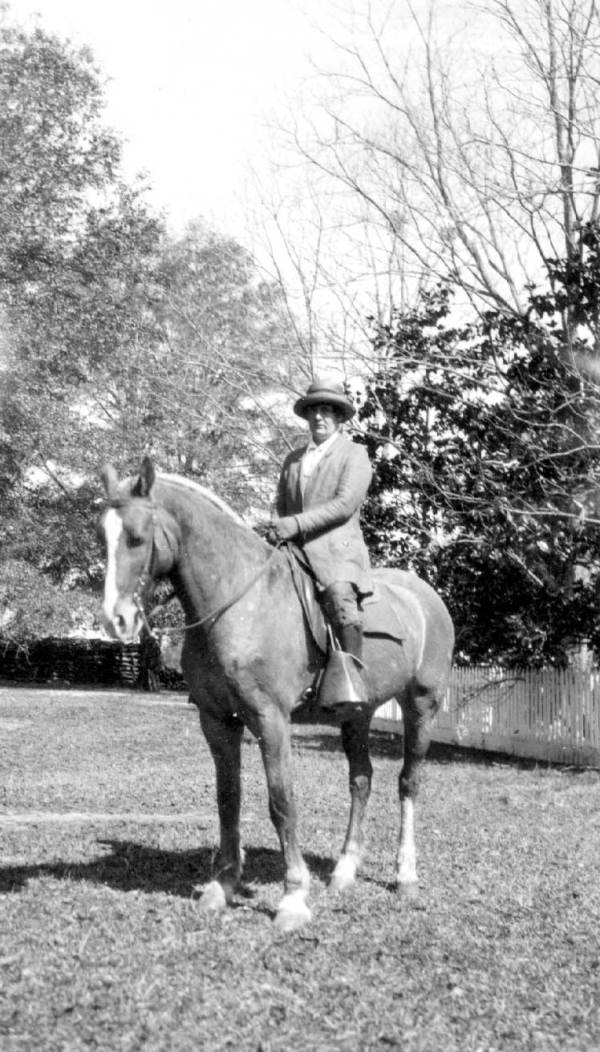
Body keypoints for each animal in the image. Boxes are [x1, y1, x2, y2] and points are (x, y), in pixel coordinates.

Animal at [100, 456, 454, 932]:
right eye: (101, 535)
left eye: (137, 537)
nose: (115, 619)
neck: (238, 601)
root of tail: (426, 596)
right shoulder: (217, 721)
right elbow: (228, 799)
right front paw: (223, 886)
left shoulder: (270, 720)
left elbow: (281, 802)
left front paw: (293, 897)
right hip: (357, 714)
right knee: (361, 781)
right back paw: (344, 871)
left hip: (421, 706)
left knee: (408, 783)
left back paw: (406, 876)